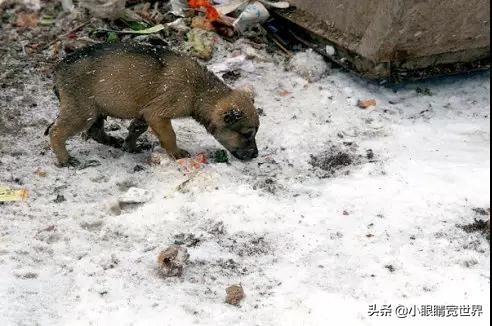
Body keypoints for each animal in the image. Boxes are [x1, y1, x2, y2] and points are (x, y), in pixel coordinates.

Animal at [47, 42, 260, 166]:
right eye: (247, 134)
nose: (256, 155)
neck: (199, 91)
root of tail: (58, 68)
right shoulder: (158, 114)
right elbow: (170, 136)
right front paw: (176, 153)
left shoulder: (144, 113)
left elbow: (136, 129)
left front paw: (130, 146)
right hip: (83, 112)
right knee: (55, 131)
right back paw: (65, 160)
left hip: (97, 109)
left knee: (94, 132)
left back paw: (113, 141)